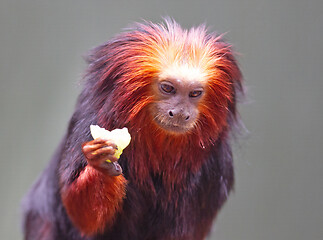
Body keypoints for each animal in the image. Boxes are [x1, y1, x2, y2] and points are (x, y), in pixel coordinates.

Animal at [22, 19, 243, 240]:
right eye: (168, 88)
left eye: (195, 93)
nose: (180, 113)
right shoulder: (91, 122)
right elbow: (81, 216)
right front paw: (101, 165)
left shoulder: (214, 166)